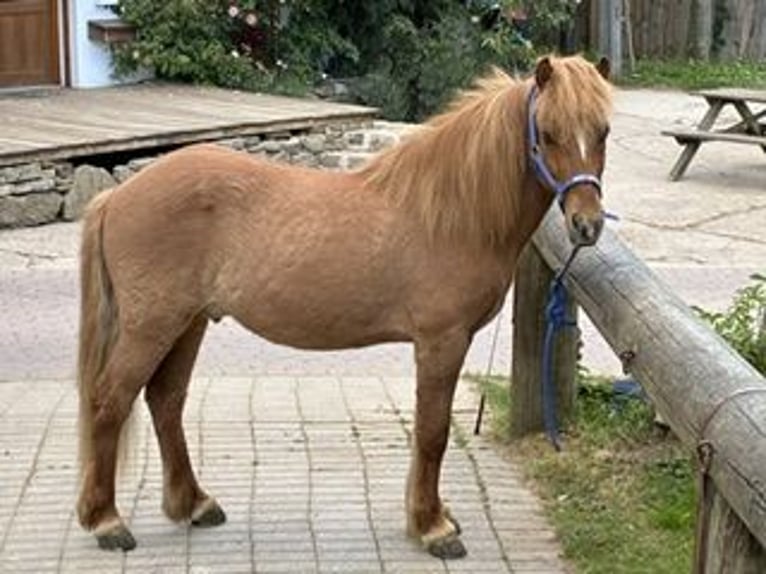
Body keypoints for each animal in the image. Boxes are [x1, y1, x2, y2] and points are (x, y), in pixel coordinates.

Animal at [76, 54, 613, 559]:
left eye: (603, 131)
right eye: (548, 132)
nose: (587, 225)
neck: (451, 214)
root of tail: (115, 196)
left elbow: (427, 431)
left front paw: (431, 515)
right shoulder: (441, 341)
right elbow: (433, 431)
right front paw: (432, 527)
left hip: (187, 323)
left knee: (165, 401)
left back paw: (193, 503)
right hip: (152, 325)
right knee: (109, 401)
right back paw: (107, 521)